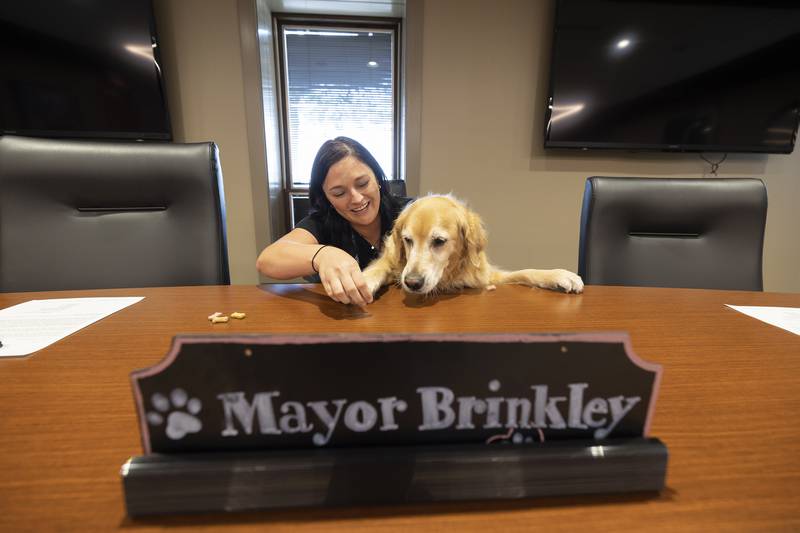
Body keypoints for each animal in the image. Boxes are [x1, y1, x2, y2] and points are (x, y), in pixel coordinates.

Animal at [366, 194, 584, 296]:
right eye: (407, 240)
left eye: (439, 241)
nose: (412, 282)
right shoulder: (393, 260)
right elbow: (379, 268)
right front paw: (364, 282)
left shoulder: (486, 275)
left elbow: (526, 272)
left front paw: (559, 275)